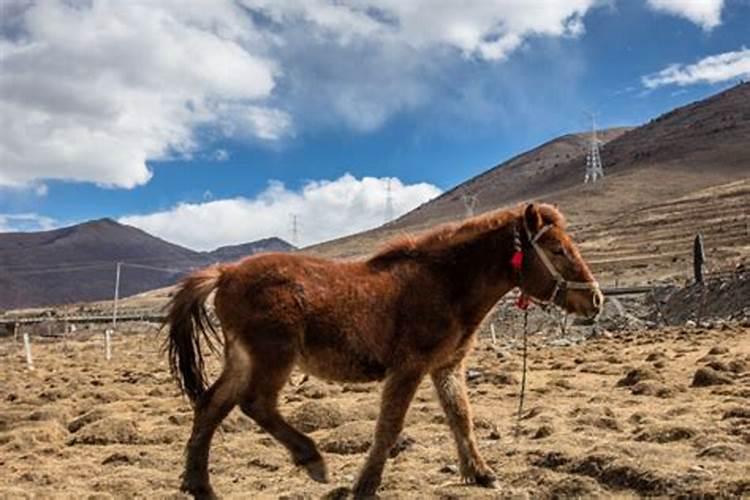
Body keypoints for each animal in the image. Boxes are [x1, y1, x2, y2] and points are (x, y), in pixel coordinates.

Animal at [166, 201, 604, 498]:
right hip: (273, 357)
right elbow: (390, 426)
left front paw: (481, 474)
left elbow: (461, 419)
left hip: (242, 360)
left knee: (211, 406)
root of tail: (226, 273)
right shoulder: (408, 368)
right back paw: (313, 460)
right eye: (558, 250)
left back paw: (200, 485)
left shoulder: (446, 367)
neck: (444, 284)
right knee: (255, 404)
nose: (596, 300)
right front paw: (365, 484)